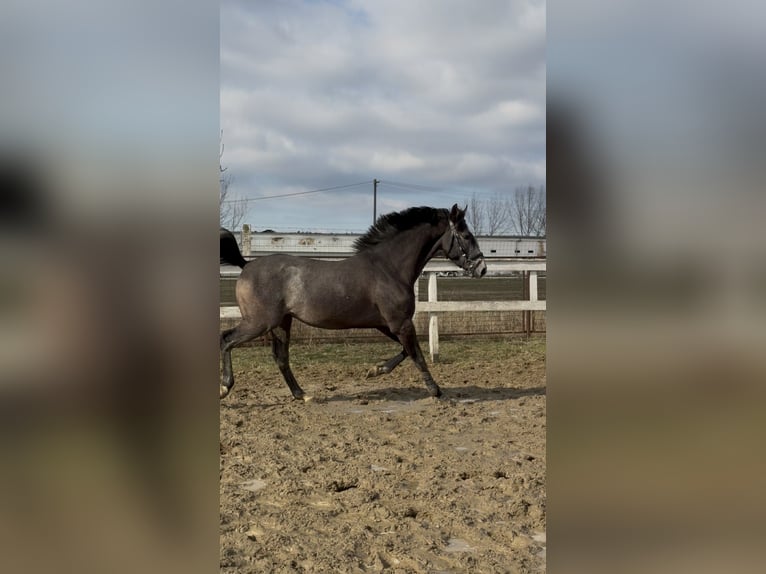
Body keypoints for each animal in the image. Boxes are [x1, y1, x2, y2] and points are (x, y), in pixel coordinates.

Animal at [219, 204, 486, 400]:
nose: (482, 268)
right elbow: (417, 354)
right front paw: (436, 391)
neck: (389, 268)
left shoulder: (388, 325)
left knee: (280, 357)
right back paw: (225, 387)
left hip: (282, 324)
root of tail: (246, 265)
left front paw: (375, 371)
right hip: (259, 322)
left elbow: (405, 351)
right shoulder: (400, 323)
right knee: (226, 339)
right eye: (466, 235)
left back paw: (301, 394)